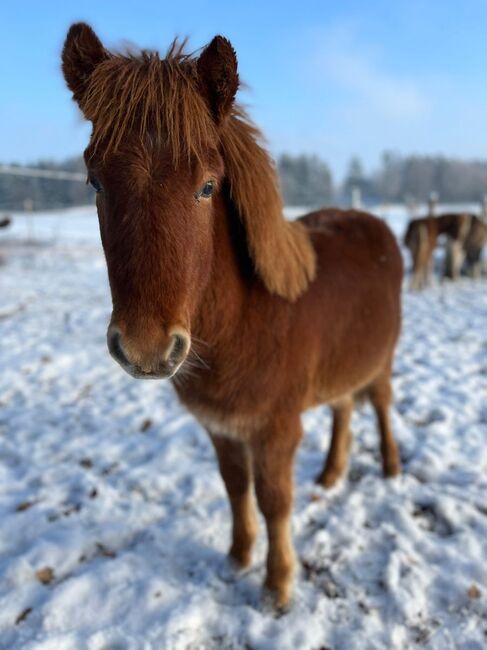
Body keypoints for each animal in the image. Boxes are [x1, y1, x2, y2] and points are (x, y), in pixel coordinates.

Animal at [62, 21, 404, 608]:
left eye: (207, 186)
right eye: (95, 182)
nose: (147, 348)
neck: (246, 322)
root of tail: (375, 225)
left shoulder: (276, 430)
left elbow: (273, 500)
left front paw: (277, 585)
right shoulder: (221, 429)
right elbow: (235, 488)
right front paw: (238, 557)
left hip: (380, 360)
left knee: (379, 405)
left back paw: (390, 468)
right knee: (343, 407)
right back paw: (331, 474)